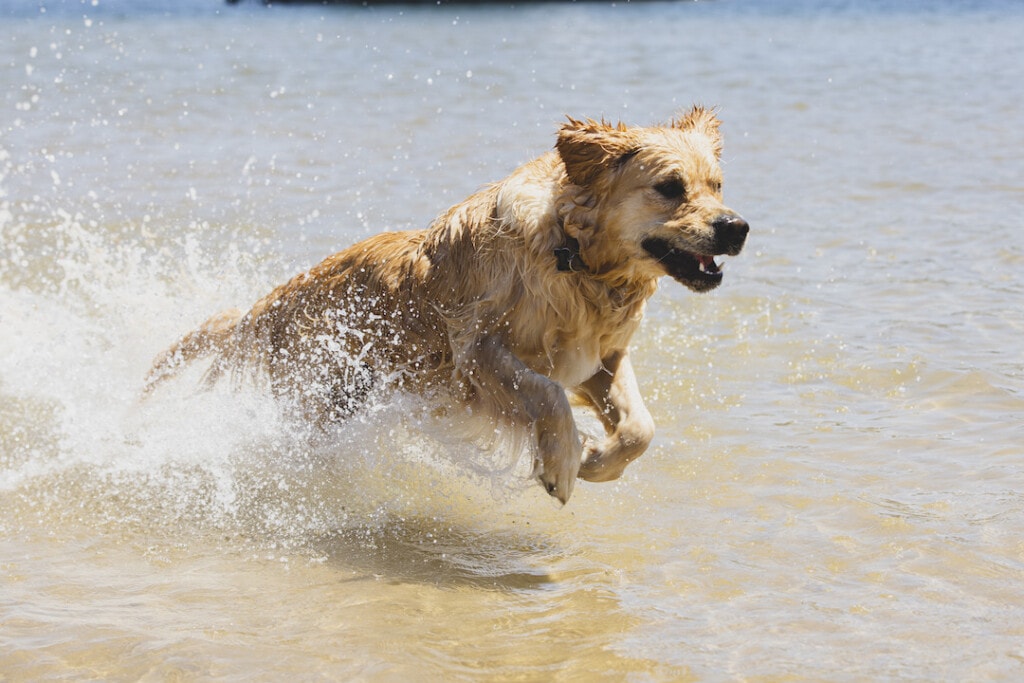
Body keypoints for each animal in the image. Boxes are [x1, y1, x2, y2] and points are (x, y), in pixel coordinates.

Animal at [144, 107, 749, 501]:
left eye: (717, 185)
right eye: (670, 187)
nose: (737, 227)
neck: (572, 257)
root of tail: (267, 303)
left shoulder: (603, 357)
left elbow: (642, 427)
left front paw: (598, 461)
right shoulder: (475, 353)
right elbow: (546, 394)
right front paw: (563, 463)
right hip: (319, 398)